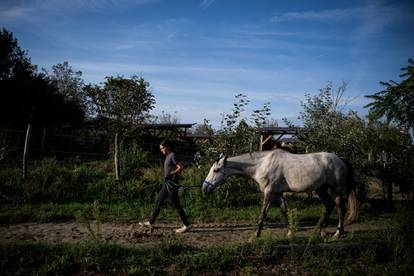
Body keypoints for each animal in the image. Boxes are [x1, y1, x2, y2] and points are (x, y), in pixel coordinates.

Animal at [202, 150, 358, 238]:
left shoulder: (269, 192)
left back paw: (337, 233)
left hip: (335, 189)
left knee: (340, 207)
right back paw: (319, 231)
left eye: (216, 170)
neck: (262, 164)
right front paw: (290, 233)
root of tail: (340, 159)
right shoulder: (278, 194)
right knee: (329, 206)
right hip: (321, 189)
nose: (205, 188)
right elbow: (285, 211)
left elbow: (263, 213)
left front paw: (256, 234)